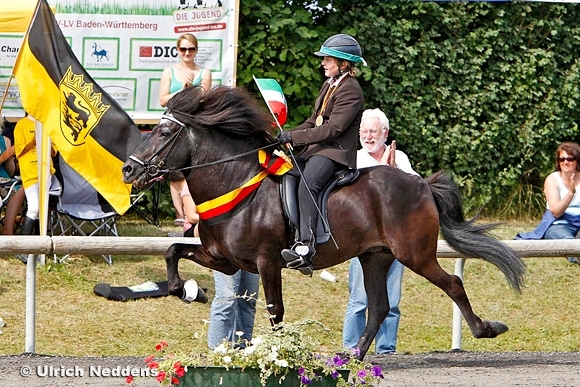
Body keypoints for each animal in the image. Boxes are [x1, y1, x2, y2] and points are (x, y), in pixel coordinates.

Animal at [122, 85, 524, 360]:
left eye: (162, 133)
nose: (128, 171)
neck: (235, 182)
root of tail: (421, 183)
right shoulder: (224, 259)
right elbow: (174, 250)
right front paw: (185, 290)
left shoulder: (268, 262)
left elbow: (275, 310)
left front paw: (280, 353)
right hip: (375, 256)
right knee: (379, 308)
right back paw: (353, 357)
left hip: (414, 254)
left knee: (452, 284)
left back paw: (486, 329)